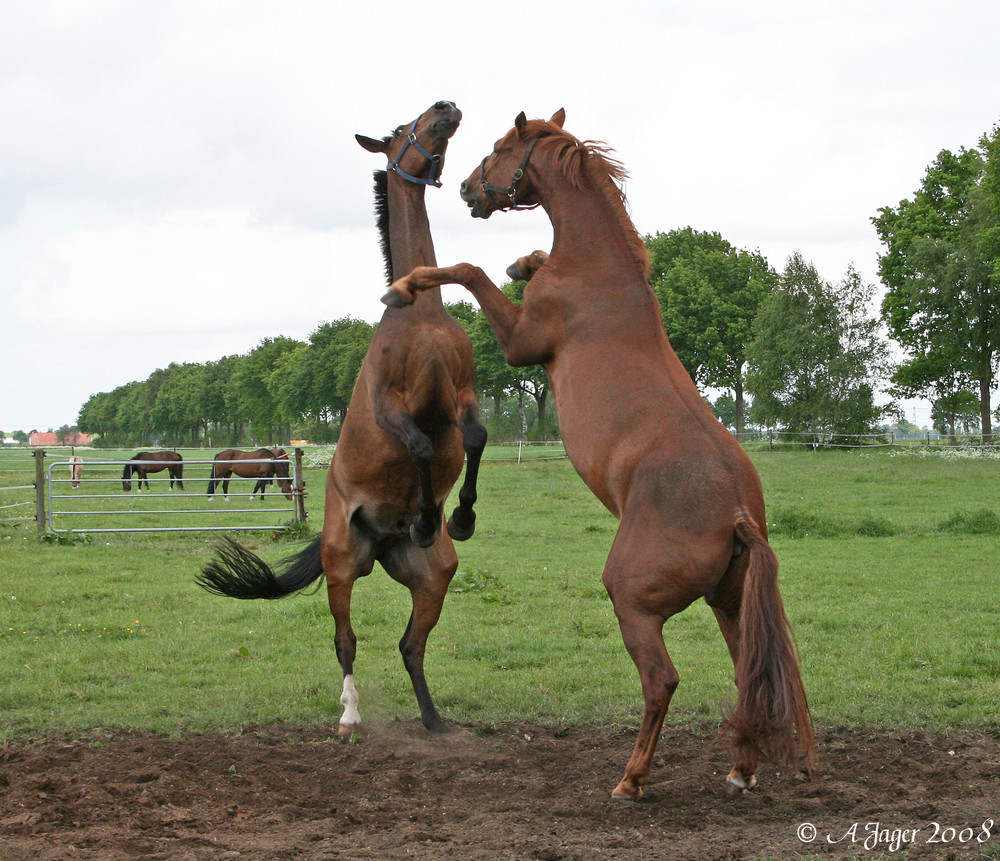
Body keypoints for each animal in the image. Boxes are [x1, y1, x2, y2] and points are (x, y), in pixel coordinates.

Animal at [196, 99, 488, 740]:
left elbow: (477, 438)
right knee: (346, 641)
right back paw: (350, 715)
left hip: (433, 578)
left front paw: (459, 517)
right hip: (340, 566)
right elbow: (421, 448)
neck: (419, 314)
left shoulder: (462, 393)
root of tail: (379, 545)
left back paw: (433, 718)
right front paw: (432, 515)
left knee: (410, 646)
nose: (446, 107)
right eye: (402, 129)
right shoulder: (390, 406)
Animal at [386, 109, 816, 800]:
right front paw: (523, 259)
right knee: (743, 672)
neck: (596, 267)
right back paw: (740, 770)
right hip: (729, 603)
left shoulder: (521, 344)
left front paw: (409, 283)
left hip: (634, 600)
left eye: (500, 147)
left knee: (662, 680)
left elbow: (468, 270)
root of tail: (737, 516)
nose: (469, 190)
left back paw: (631, 779)